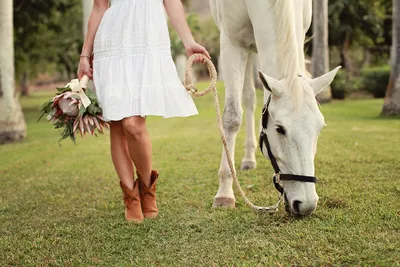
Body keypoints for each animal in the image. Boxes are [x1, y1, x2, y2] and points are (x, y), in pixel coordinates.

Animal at [211, 0, 340, 216]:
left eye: (319, 128)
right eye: (280, 129)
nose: (306, 204)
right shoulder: (232, 42)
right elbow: (232, 117)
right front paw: (224, 193)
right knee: (248, 99)